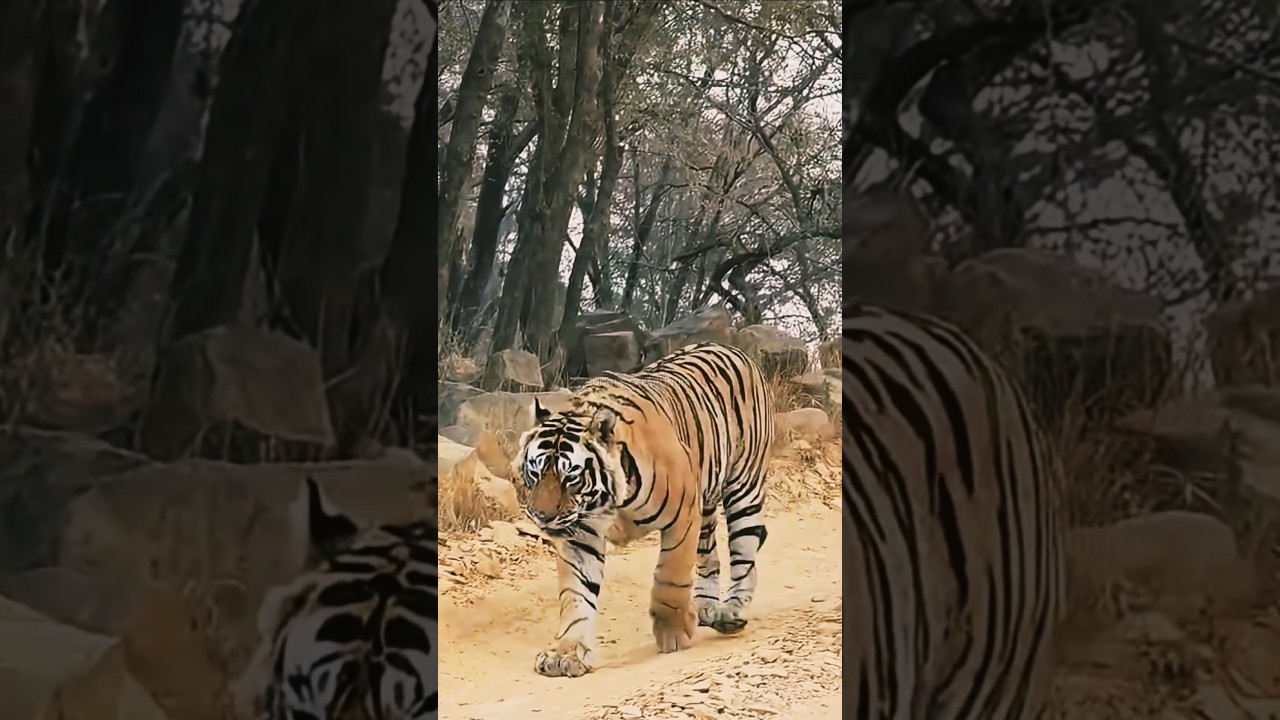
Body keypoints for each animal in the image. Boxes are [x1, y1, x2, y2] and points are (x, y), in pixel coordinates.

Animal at [513, 340, 775, 678]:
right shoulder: (580, 536)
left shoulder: (682, 515)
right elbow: (576, 596)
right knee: (709, 555)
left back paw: (732, 612)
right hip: (706, 501)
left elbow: (670, 575)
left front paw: (673, 632)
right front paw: (566, 653)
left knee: (744, 552)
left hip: (743, 486)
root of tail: (731, 348)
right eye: (535, 471)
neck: (607, 501)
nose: (542, 517)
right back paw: (705, 606)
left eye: (570, 476)